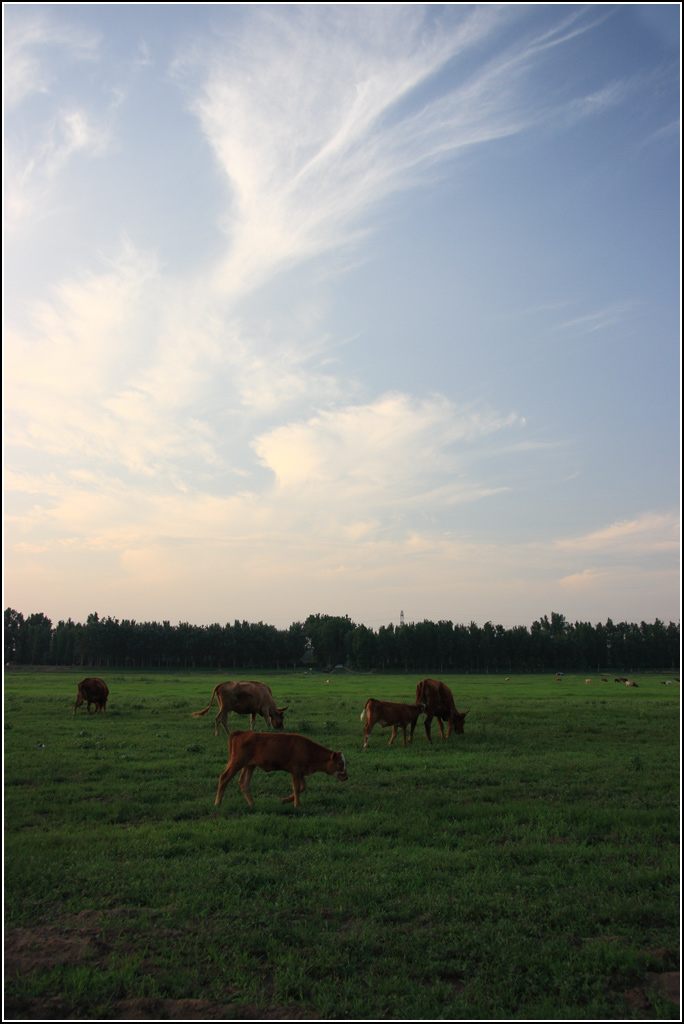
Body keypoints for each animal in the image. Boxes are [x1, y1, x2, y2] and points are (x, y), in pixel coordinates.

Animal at [216, 729, 350, 806]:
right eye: (340, 763)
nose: (346, 777)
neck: (307, 749)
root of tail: (245, 732)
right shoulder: (295, 771)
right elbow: (297, 788)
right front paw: (297, 805)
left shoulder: (300, 773)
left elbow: (303, 787)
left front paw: (286, 800)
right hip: (237, 762)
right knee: (224, 778)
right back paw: (218, 803)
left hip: (249, 766)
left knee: (244, 782)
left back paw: (252, 804)